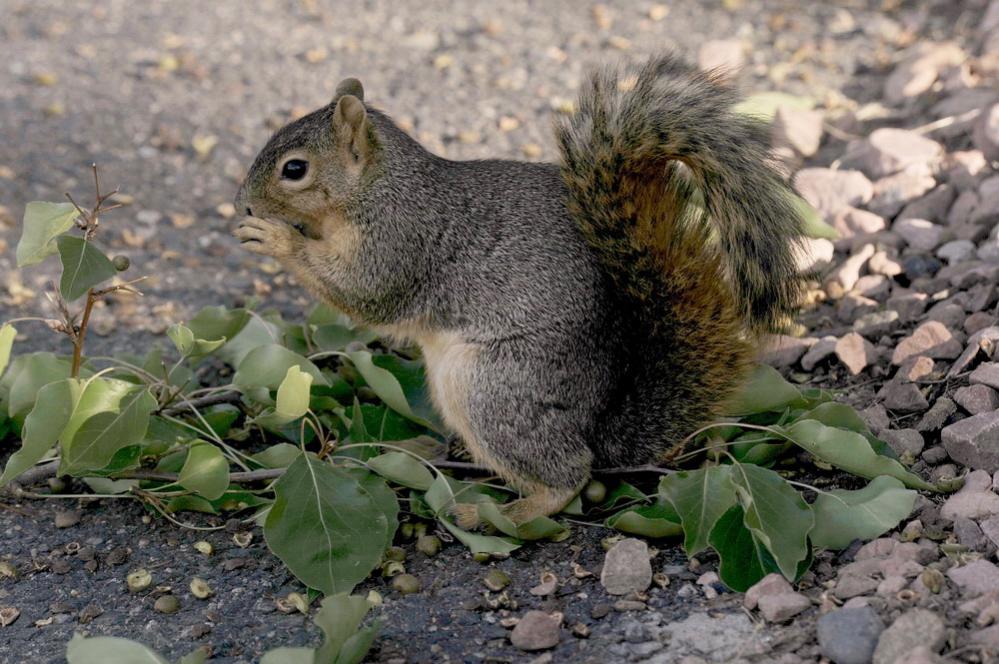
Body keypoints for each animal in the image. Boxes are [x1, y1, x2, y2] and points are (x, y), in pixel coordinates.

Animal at [234, 54, 804, 527]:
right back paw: (428, 448)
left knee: (569, 472)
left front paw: (276, 238)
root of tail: (596, 426)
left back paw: (503, 512)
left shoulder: (399, 241)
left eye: (294, 169)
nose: (243, 204)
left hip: (494, 387)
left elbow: (361, 292)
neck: (376, 188)